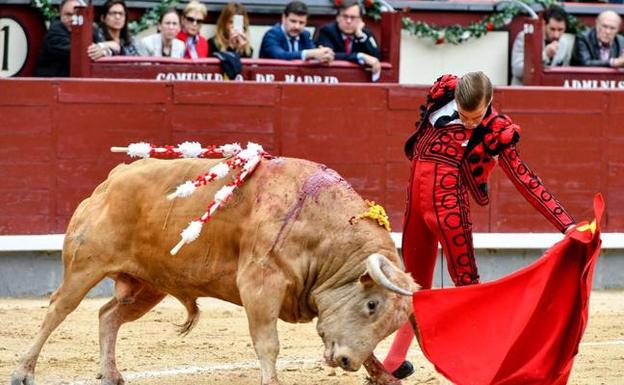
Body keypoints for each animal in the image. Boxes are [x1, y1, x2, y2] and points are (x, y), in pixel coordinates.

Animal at [9, 156, 416, 384]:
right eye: (372, 305)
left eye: (391, 323)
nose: (347, 362)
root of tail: (111, 179)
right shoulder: (259, 285)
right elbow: (268, 343)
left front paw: (384, 376)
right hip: (85, 267)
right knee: (57, 310)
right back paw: (23, 371)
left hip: (147, 284)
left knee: (108, 316)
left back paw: (111, 375)